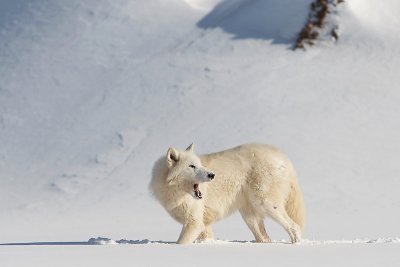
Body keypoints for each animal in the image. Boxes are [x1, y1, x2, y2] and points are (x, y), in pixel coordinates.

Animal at [148, 144, 304, 245]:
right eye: (191, 166)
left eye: (200, 165)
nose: (212, 175)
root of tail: (283, 157)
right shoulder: (203, 224)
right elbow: (206, 238)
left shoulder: (194, 222)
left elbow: (180, 243)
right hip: (250, 217)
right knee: (265, 238)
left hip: (267, 204)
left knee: (294, 227)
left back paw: (296, 245)